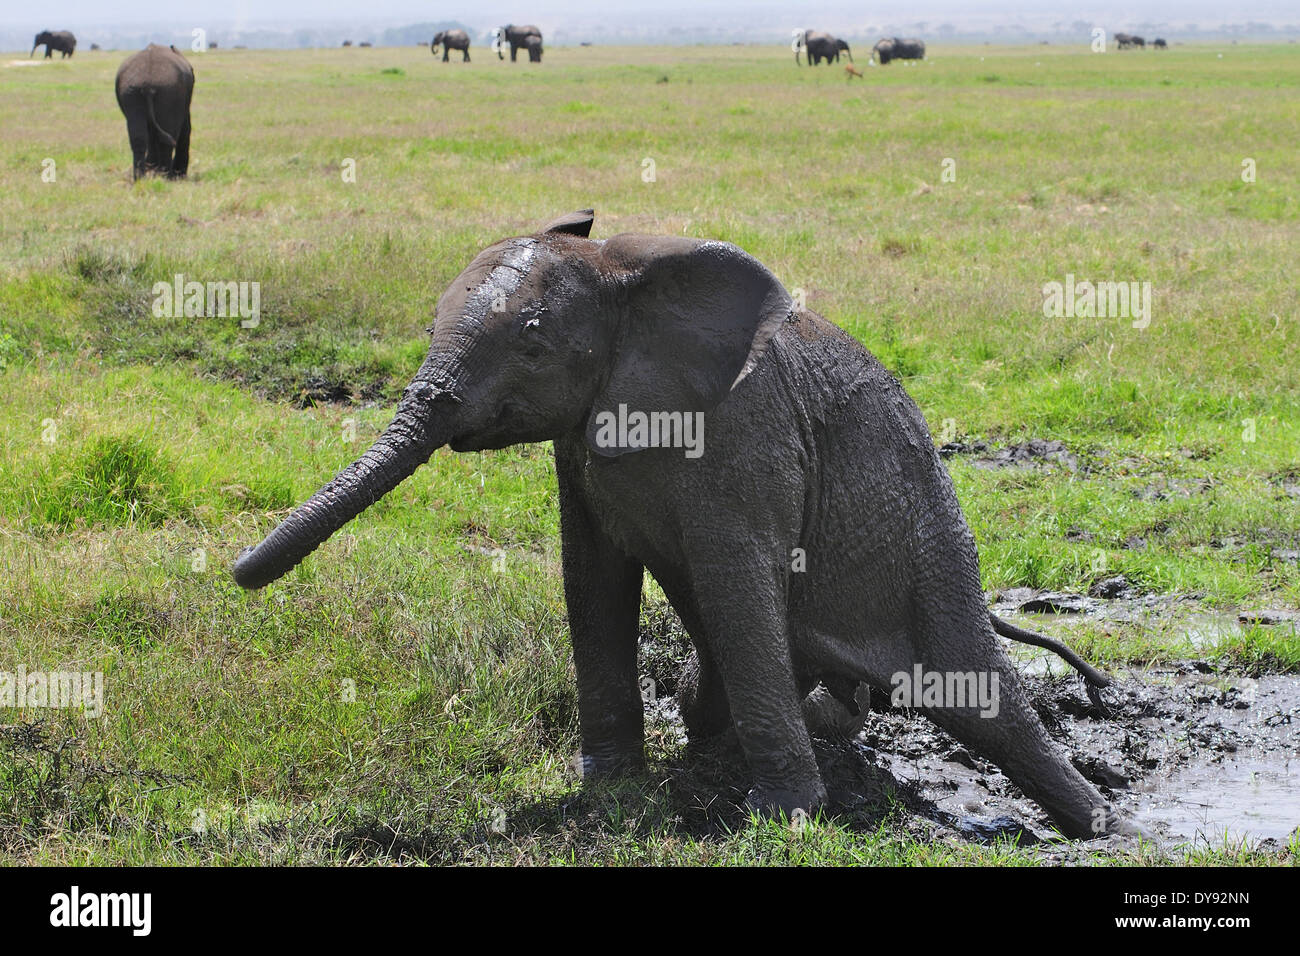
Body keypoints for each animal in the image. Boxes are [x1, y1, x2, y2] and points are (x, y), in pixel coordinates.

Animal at [115, 43, 193, 180]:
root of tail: (147, 85)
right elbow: (185, 128)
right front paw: (178, 175)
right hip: (169, 92)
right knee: (168, 137)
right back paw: (166, 176)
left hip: (131, 92)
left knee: (138, 138)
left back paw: (140, 178)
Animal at [233, 210, 1138, 842]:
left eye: (532, 346)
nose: (239, 573)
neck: (620, 273)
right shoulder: (580, 442)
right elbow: (593, 579)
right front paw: (609, 787)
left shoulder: (744, 433)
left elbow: (736, 580)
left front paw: (785, 816)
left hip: (934, 551)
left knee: (979, 695)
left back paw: (1108, 828)